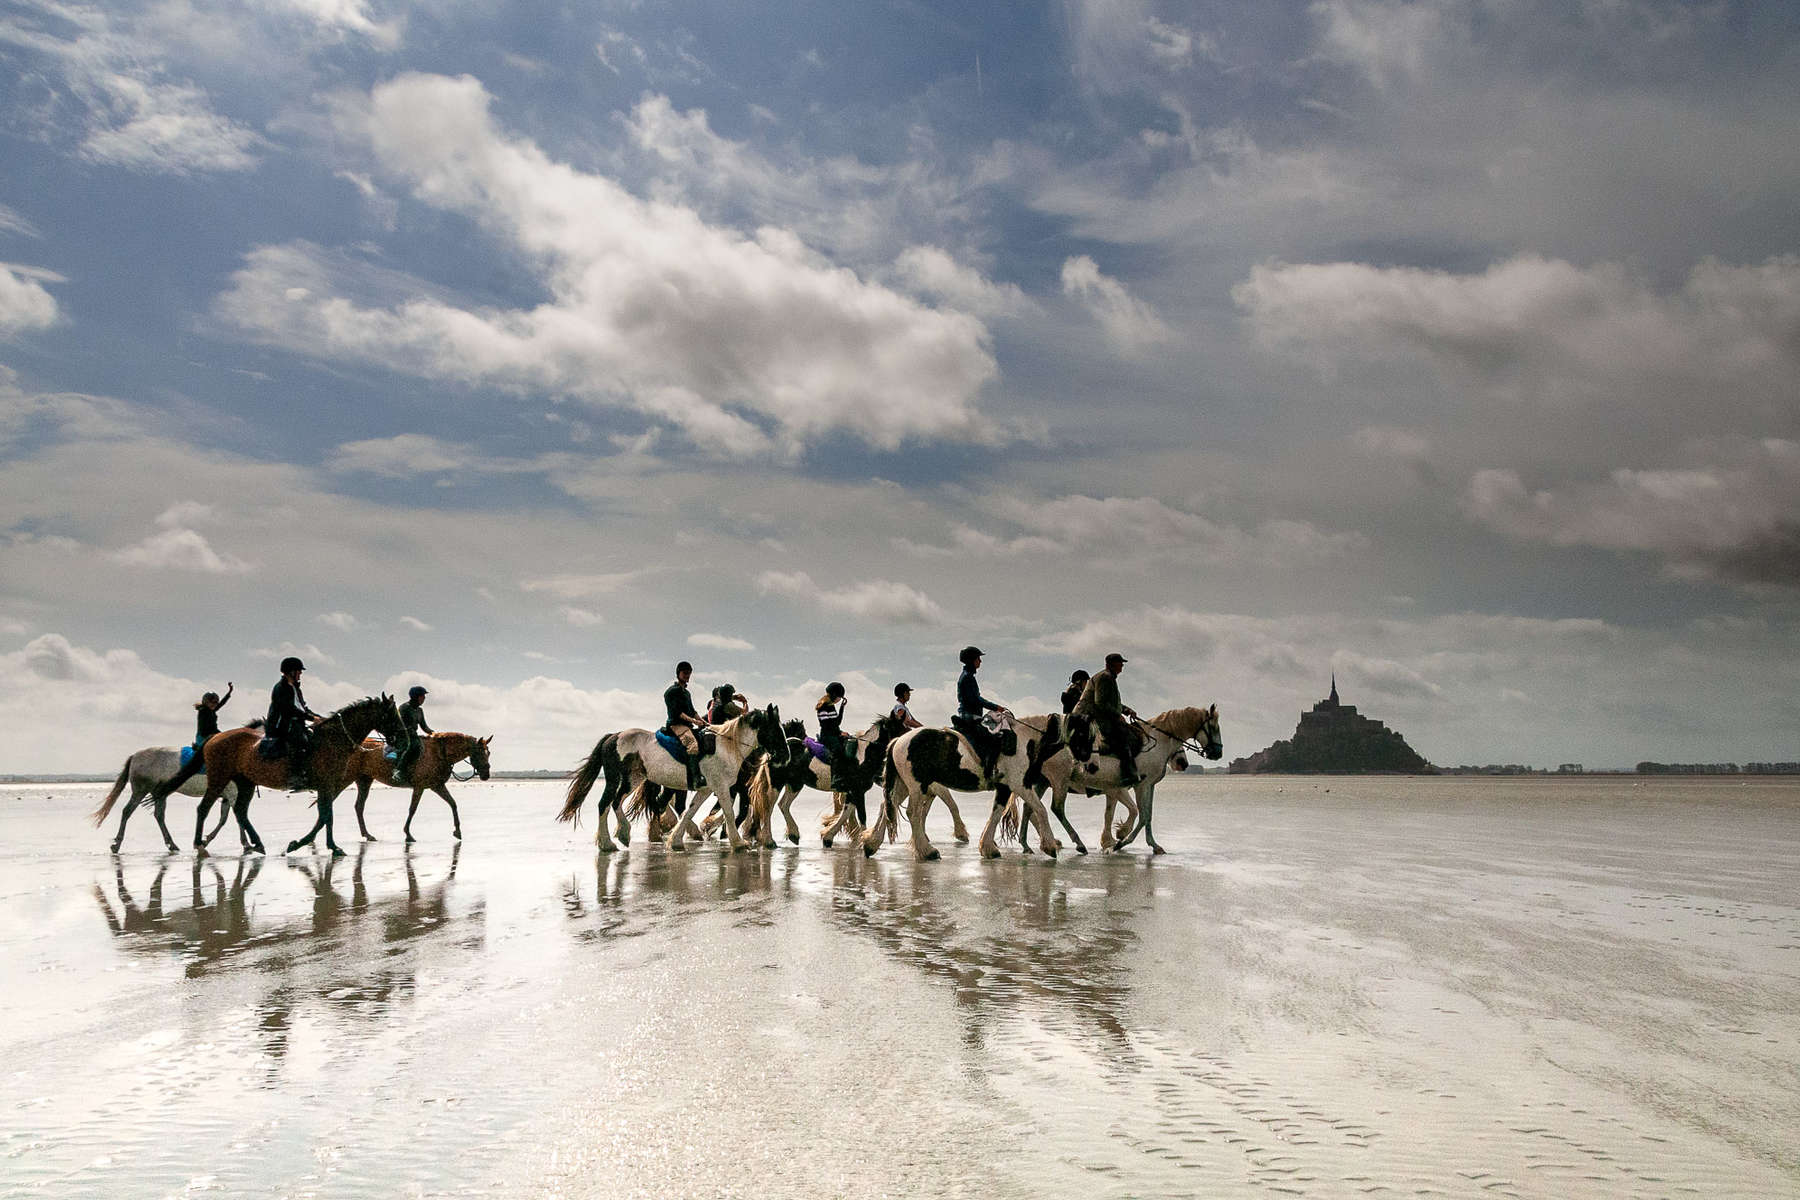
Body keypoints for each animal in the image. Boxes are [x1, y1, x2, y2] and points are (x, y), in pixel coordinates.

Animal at [92, 752, 255, 852]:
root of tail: (135, 756)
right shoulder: (232, 793)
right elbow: (236, 818)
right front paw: (246, 843)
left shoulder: (227, 796)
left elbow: (224, 819)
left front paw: (206, 840)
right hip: (140, 791)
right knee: (127, 811)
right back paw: (117, 844)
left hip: (158, 794)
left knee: (158, 815)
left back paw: (172, 844)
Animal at [194, 698, 412, 859]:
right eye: (392, 715)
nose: (405, 740)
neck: (333, 740)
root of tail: (214, 739)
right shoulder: (326, 785)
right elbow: (326, 816)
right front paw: (316, 845)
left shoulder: (327, 786)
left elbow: (325, 816)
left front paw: (316, 844)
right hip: (219, 779)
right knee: (204, 808)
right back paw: (200, 845)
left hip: (245, 782)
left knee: (240, 811)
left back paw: (257, 844)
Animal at [345, 734, 493, 845]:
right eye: (479, 752)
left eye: (489, 753)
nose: (486, 775)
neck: (439, 752)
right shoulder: (420, 787)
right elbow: (413, 809)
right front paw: (408, 834)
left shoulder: (437, 786)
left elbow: (453, 804)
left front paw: (457, 831)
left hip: (364, 780)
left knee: (359, 806)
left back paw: (367, 834)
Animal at [558, 705, 792, 852]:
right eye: (775, 730)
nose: (786, 757)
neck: (728, 746)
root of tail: (613, 737)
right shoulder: (721, 786)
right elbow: (727, 811)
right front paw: (738, 843)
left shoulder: (706, 788)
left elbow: (690, 811)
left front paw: (676, 840)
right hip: (616, 779)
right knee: (604, 804)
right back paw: (607, 844)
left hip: (634, 779)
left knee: (616, 802)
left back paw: (623, 834)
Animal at [860, 712, 1058, 863]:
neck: (1023, 741)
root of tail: (898, 741)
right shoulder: (1019, 783)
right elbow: (1041, 809)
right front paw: (1049, 846)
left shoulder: (1005, 786)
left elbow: (996, 812)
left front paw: (987, 847)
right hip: (917, 786)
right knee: (912, 813)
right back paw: (927, 852)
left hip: (905, 786)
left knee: (890, 806)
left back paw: (871, 844)